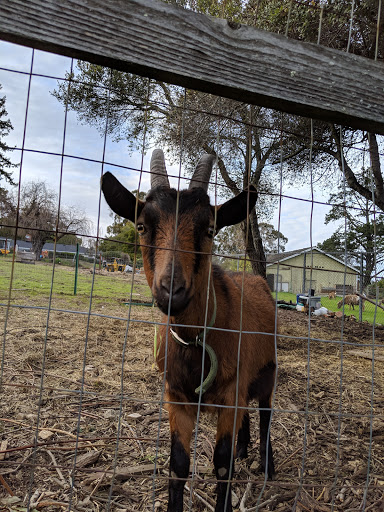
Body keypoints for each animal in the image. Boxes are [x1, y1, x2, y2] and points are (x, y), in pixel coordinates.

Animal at [100, 151, 278, 512]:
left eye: (209, 229)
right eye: (142, 226)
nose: (172, 290)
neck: (196, 341)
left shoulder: (230, 396)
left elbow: (222, 465)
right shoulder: (177, 397)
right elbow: (178, 466)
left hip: (268, 371)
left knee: (266, 414)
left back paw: (267, 465)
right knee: (248, 417)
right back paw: (244, 449)